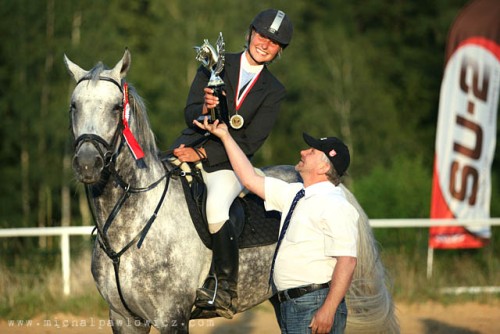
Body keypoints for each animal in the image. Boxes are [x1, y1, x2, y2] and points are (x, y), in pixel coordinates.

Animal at [64, 50, 398, 334]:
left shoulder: (172, 317)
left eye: (115, 108)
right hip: (279, 296)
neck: (131, 226)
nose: (87, 164)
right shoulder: (124, 319)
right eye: (74, 106)